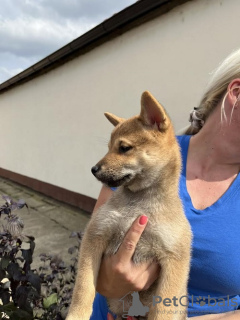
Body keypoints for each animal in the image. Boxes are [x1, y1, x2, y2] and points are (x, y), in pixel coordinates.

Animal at [66, 91, 192, 318]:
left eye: (124, 148)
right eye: (108, 148)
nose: (93, 169)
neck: (139, 204)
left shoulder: (175, 259)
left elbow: (163, 309)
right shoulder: (95, 235)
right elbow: (84, 287)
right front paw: (77, 315)